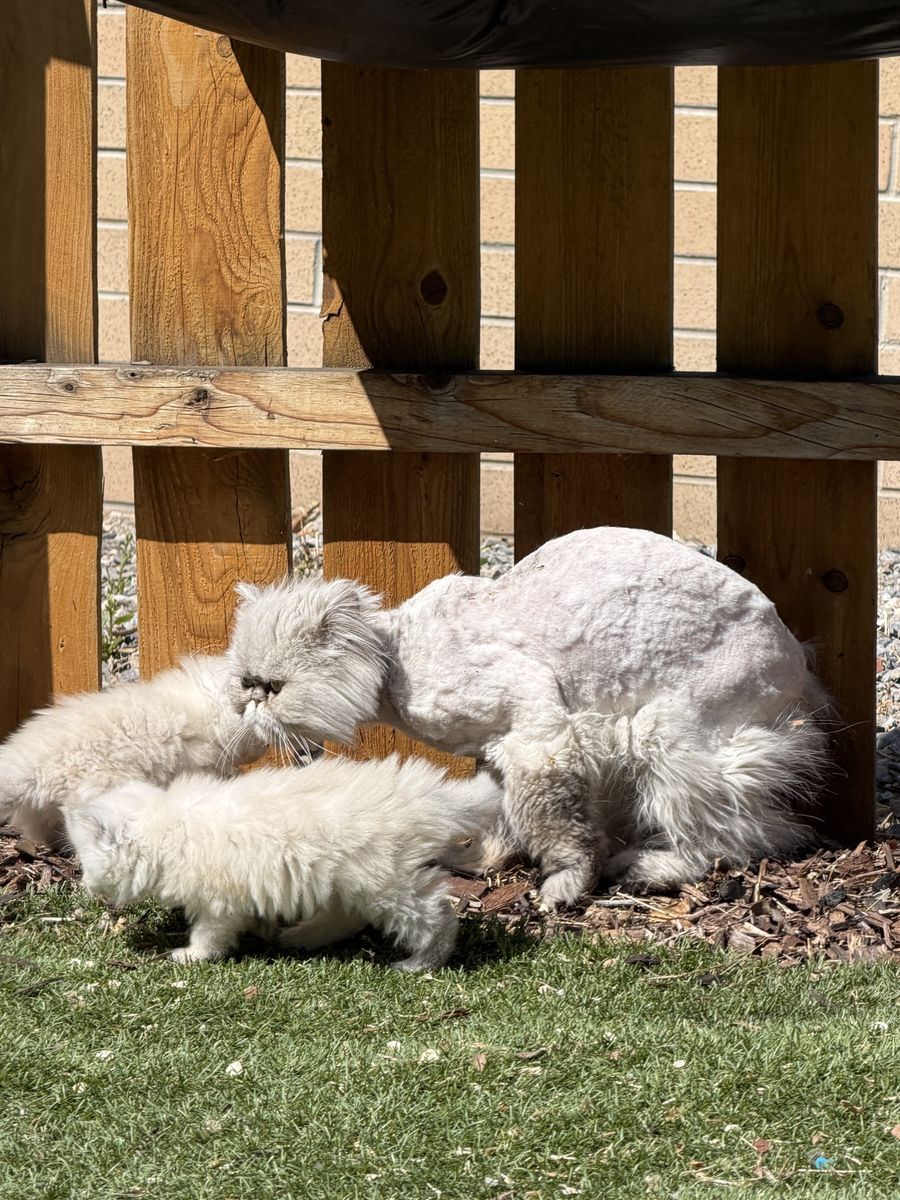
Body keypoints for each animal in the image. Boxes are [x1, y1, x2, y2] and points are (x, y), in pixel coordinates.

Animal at [65, 754, 503, 971]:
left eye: (86, 863)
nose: (82, 885)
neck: (169, 830)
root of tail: (426, 796)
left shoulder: (218, 901)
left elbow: (210, 935)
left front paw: (191, 956)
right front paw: (262, 928)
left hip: (389, 885)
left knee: (439, 919)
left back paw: (420, 963)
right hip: (352, 881)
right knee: (346, 918)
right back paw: (298, 937)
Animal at [224, 526, 831, 906]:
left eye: (272, 688)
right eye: (245, 681)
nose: (245, 705)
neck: (397, 660)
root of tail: (799, 661)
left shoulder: (539, 729)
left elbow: (554, 821)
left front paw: (565, 886)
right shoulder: (498, 748)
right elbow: (503, 812)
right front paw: (482, 857)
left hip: (669, 738)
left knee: (744, 834)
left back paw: (645, 868)